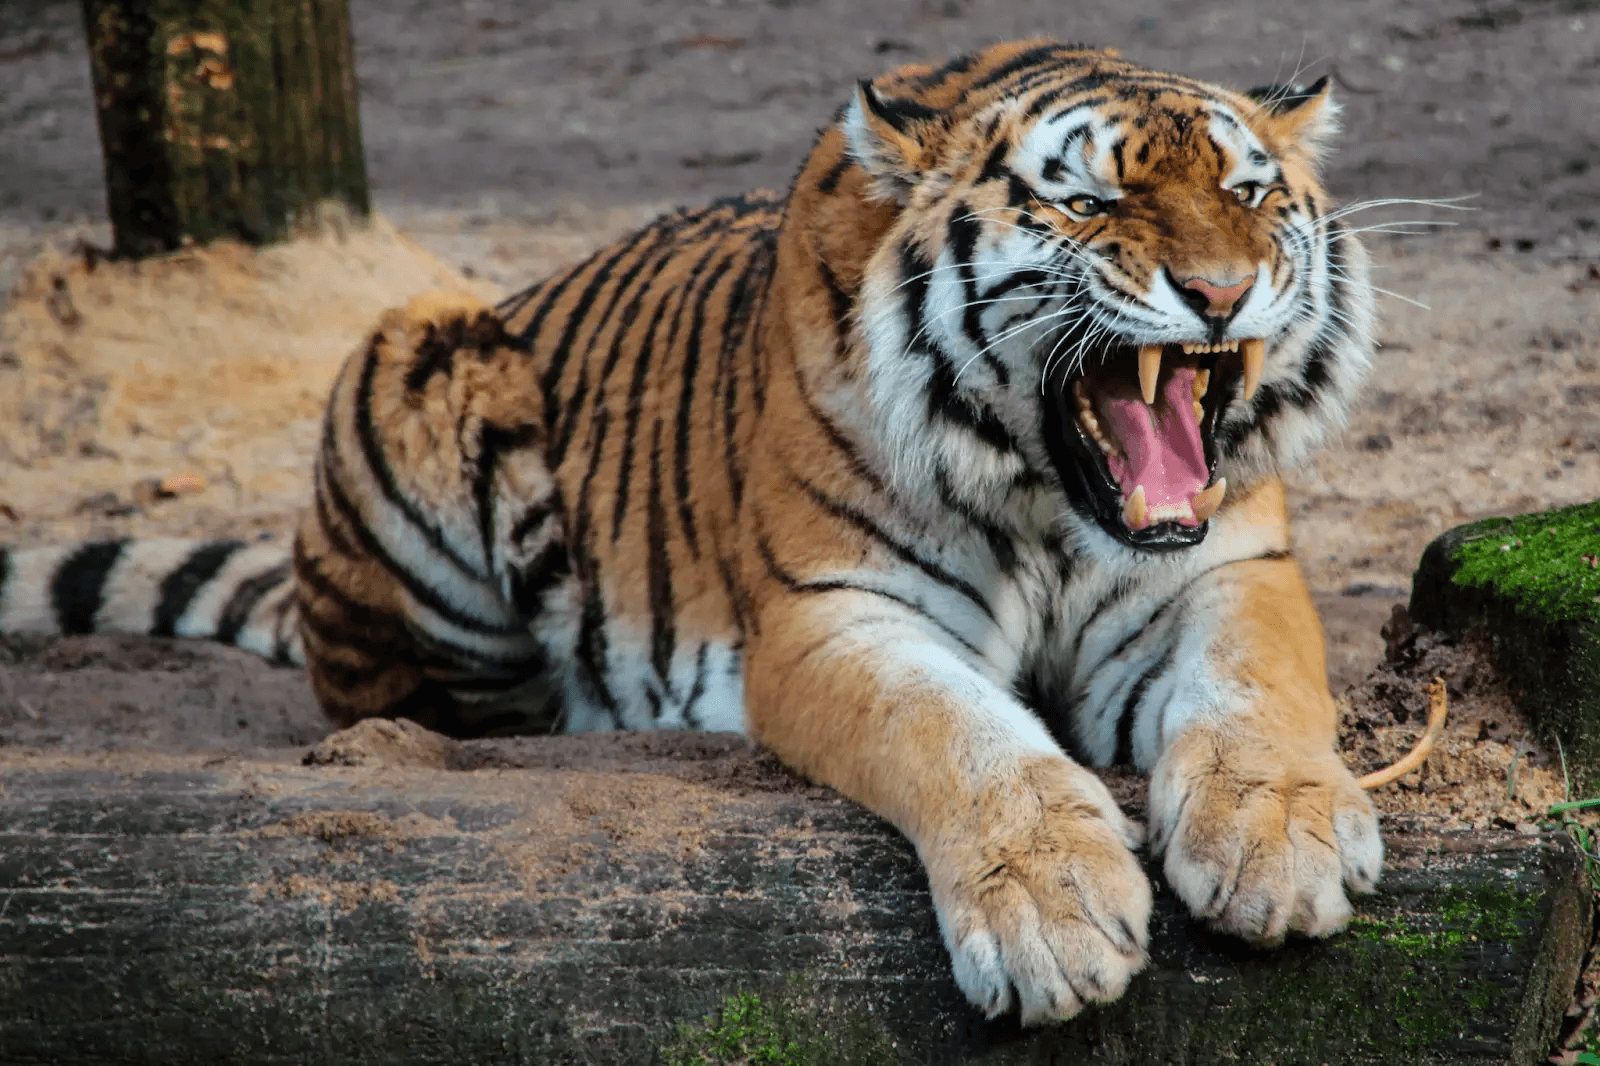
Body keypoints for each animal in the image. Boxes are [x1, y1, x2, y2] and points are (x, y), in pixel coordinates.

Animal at [0, 41, 1376, 1024]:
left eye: (1248, 192)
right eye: (1088, 201)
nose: (1219, 292)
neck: (1048, 499)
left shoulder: (1226, 568)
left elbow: (1255, 689)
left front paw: (1278, 843)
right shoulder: (832, 614)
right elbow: (960, 734)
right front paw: (1052, 911)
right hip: (417, 352)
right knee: (414, 702)